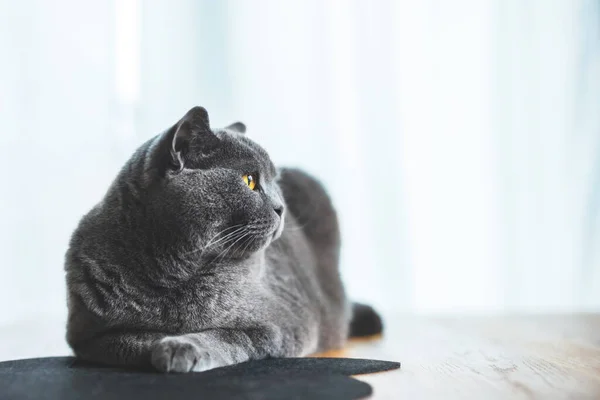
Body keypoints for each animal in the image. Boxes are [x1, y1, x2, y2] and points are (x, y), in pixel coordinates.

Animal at [63, 106, 382, 372]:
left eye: (274, 182)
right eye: (249, 180)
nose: (281, 208)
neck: (173, 272)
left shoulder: (282, 322)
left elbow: (226, 335)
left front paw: (182, 347)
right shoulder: (89, 337)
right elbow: (130, 339)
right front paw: (165, 344)